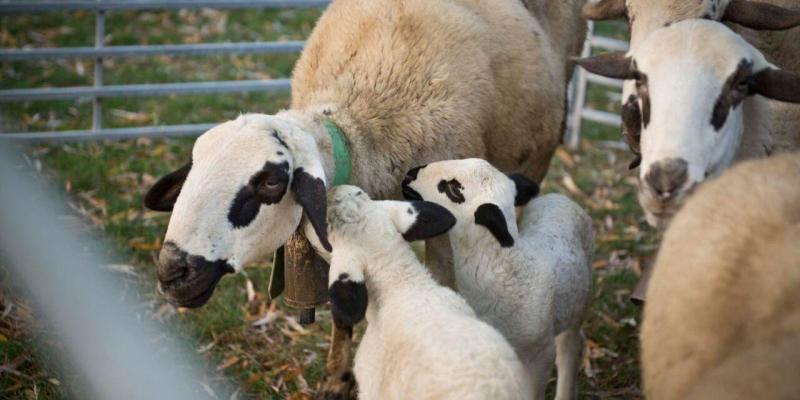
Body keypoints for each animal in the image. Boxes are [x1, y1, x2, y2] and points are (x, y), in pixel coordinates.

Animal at [400, 158, 592, 400]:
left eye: (454, 190)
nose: (409, 174)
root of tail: (559, 197)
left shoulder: (540, 355)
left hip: (578, 305)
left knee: (569, 347)